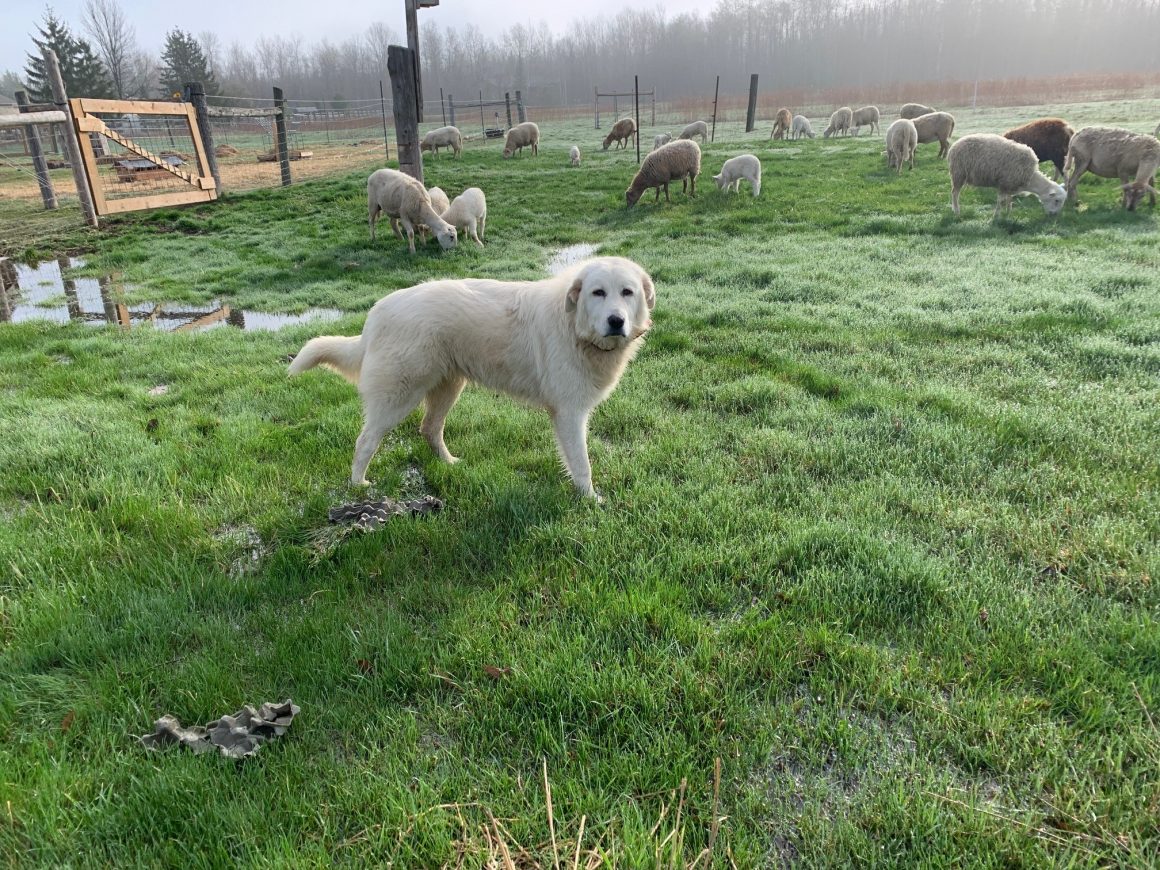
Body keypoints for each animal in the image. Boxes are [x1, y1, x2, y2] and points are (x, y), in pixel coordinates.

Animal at [286, 257, 658, 496]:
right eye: (598, 292)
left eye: (627, 292)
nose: (616, 321)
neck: (576, 329)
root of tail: (376, 313)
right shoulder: (569, 414)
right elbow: (582, 465)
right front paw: (590, 501)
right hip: (398, 398)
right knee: (365, 442)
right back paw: (358, 486)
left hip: (448, 388)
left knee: (429, 429)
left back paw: (449, 464)